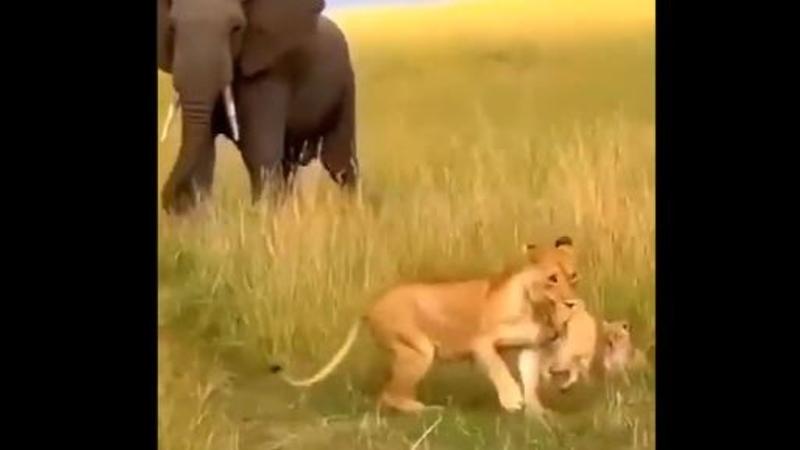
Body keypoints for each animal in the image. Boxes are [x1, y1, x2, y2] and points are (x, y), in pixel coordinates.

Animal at [158, 0, 358, 214]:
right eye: (172, 28)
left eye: (236, 28)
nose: (169, 201)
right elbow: (204, 155)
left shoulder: (268, 76)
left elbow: (259, 154)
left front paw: (263, 217)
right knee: (289, 165)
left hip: (345, 86)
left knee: (338, 161)